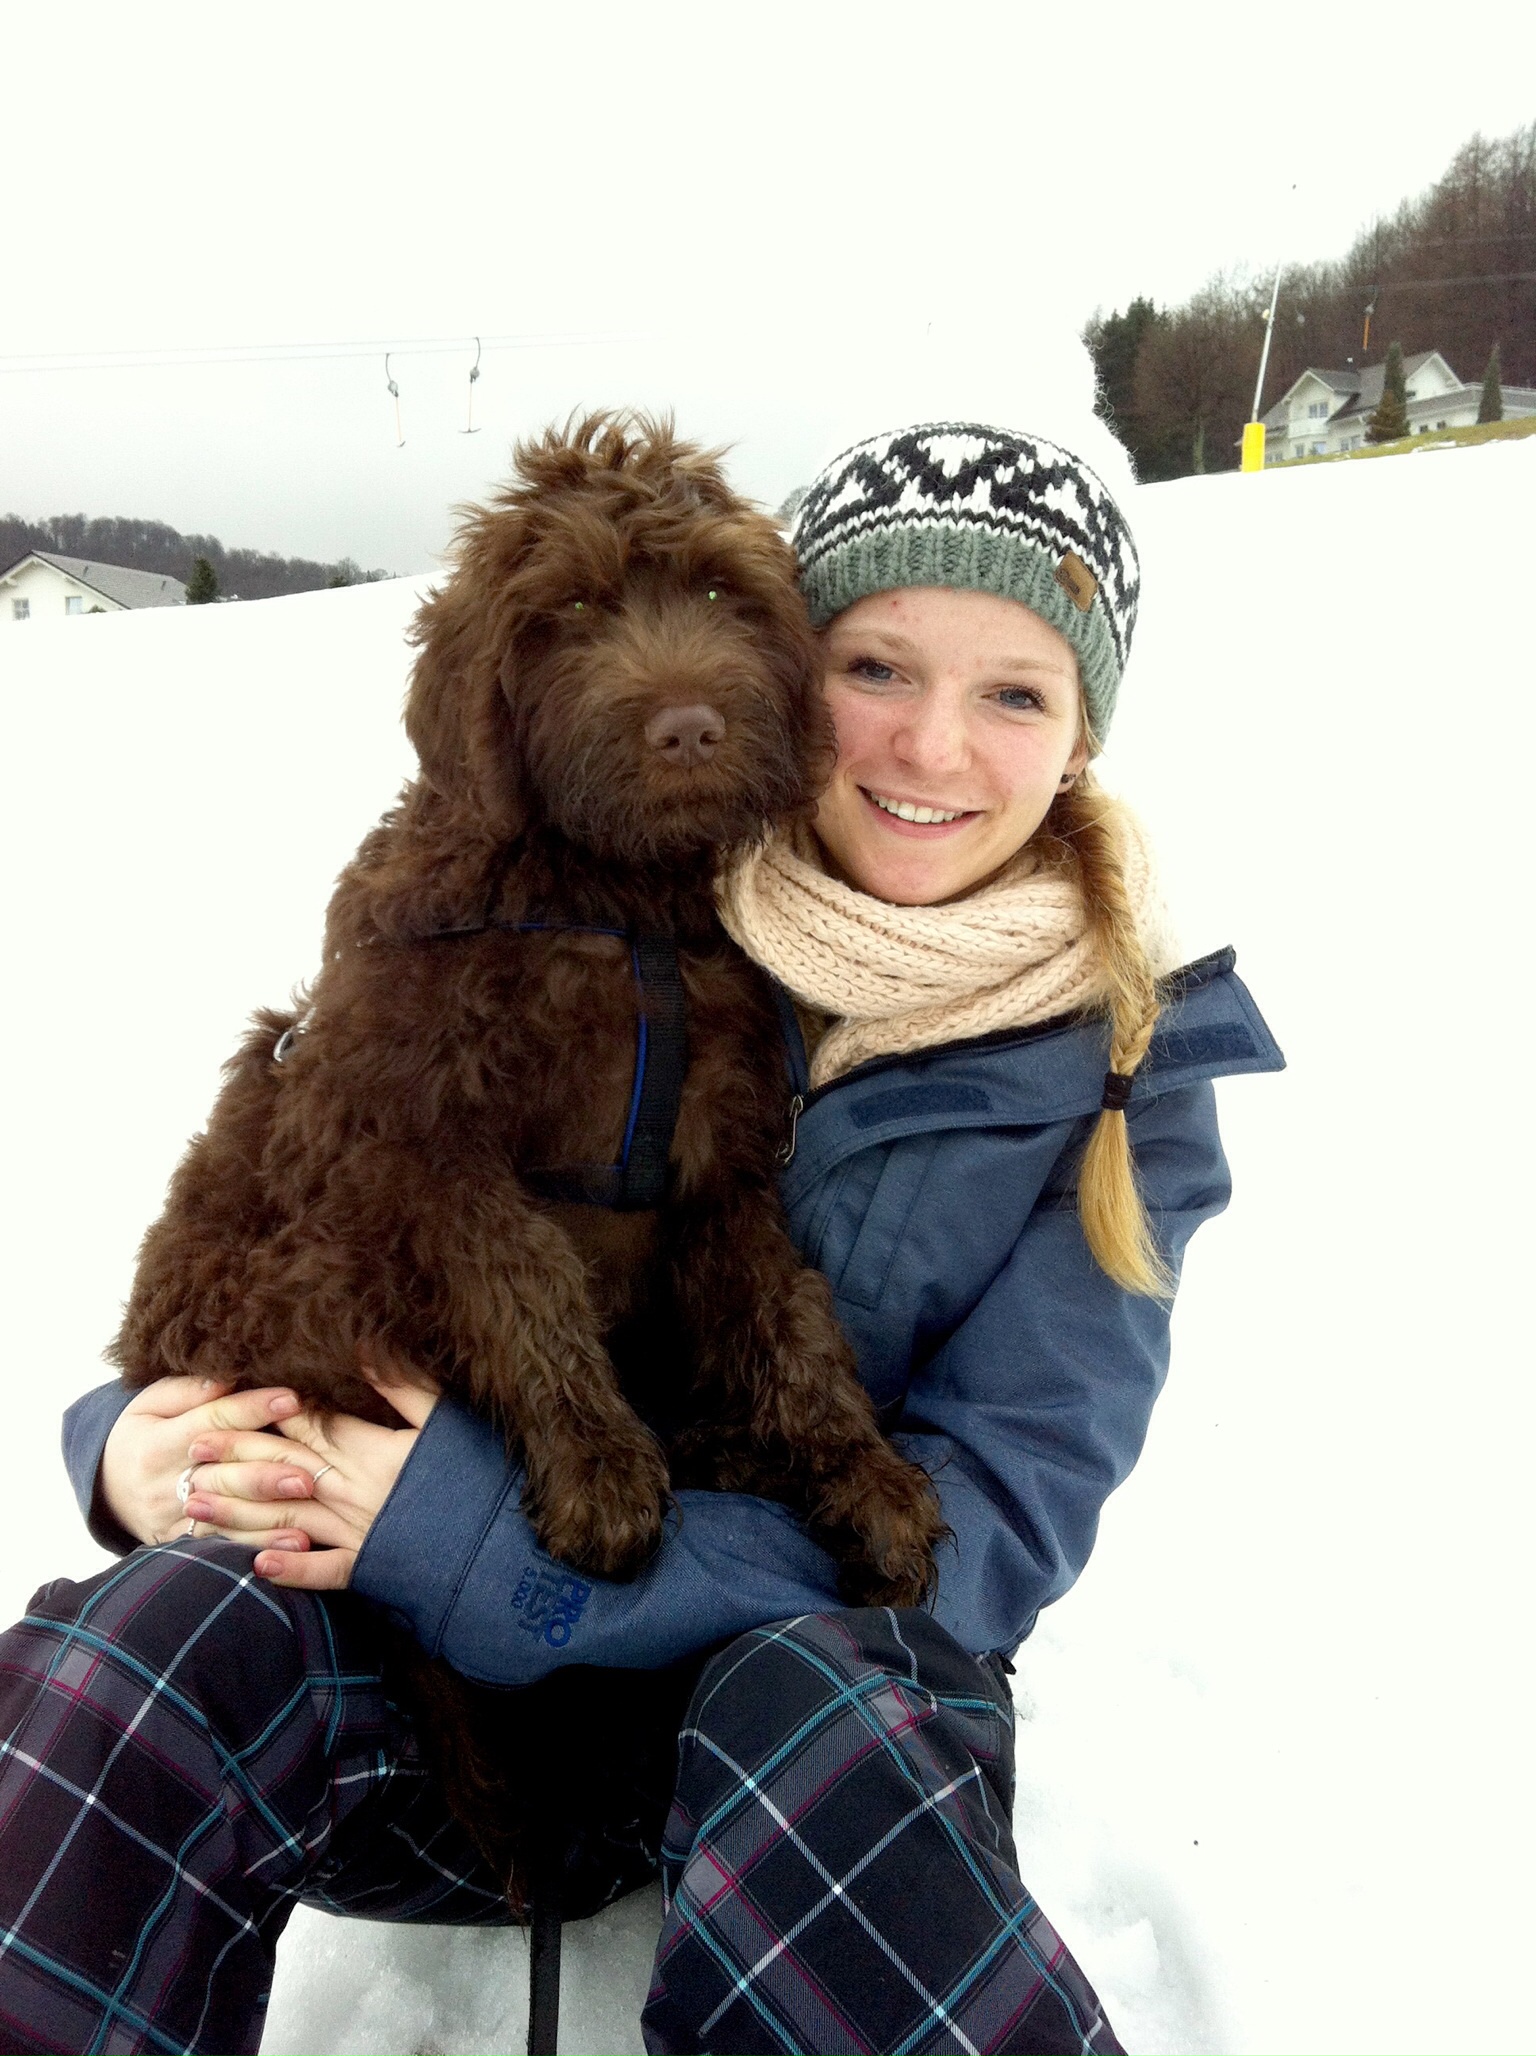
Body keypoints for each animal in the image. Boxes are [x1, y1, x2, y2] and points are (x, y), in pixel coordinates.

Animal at [111, 413, 943, 1617]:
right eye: (572, 613)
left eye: (719, 593)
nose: (689, 730)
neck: (613, 903)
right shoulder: (404, 1142)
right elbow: (522, 1269)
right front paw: (599, 1464)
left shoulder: (721, 1165)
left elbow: (789, 1311)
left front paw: (859, 1469)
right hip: (290, 1283)